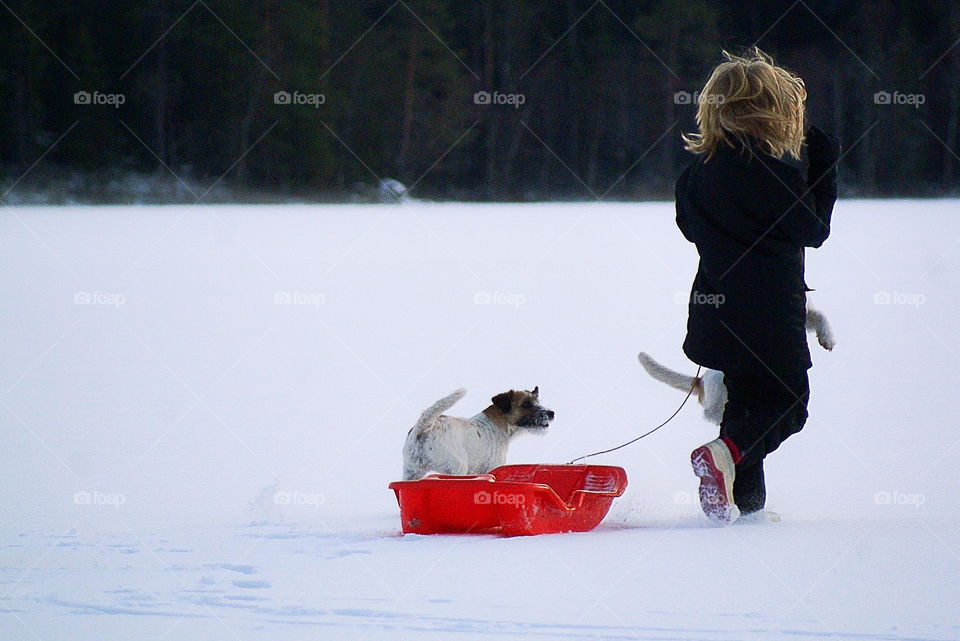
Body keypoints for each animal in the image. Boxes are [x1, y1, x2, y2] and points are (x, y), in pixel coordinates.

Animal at [402, 384, 556, 480]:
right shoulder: (493, 467)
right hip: (456, 469)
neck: (500, 422)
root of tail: (426, 425)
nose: (551, 413)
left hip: (412, 471)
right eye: (526, 404)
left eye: (538, 402)